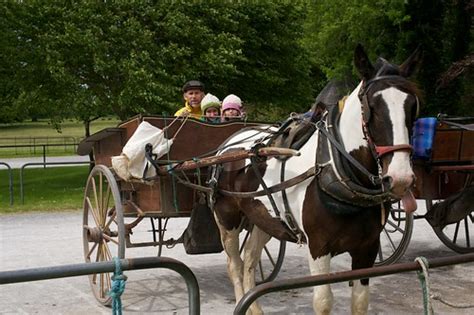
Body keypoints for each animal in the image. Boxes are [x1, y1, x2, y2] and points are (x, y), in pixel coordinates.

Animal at [211, 45, 422, 315]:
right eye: (372, 107)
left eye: (412, 107)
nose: (401, 177)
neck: (337, 171)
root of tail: (231, 142)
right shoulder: (319, 248)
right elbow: (323, 302)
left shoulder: (367, 248)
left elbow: (360, 302)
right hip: (227, 218)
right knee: (235, 265)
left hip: (264, 218)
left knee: (249, 258)